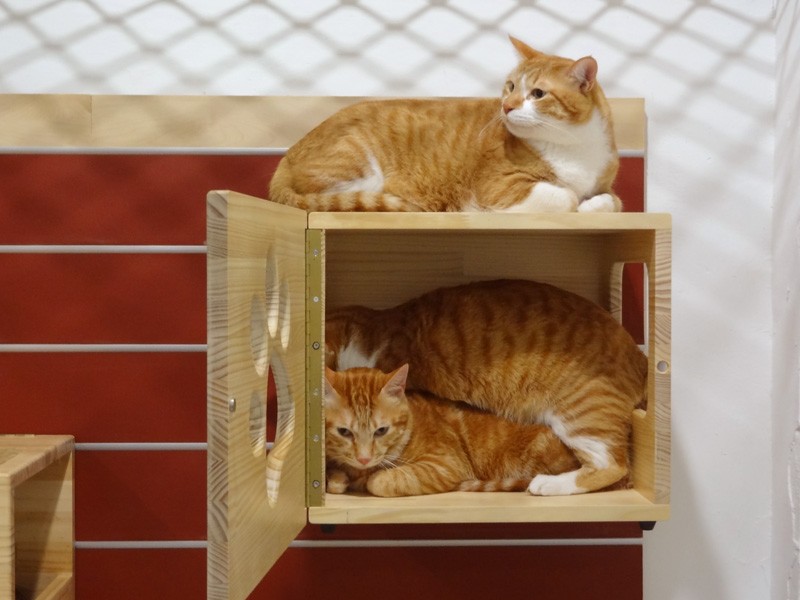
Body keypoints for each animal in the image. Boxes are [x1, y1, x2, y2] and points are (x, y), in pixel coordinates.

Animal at [269, 36, 621, 213]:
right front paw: (575, 201)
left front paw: (593, 204)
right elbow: (565, 196)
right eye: (510, 87)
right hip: (357, 163)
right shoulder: (498, 187)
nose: (506, 106)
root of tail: (287, 155)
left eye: (537, 94)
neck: (574, 146)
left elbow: (612, 201)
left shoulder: (605, 186)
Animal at [324, 364, 581, 497]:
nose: (364, 458)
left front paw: (368, 478)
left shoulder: (443, 465)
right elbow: (336, 480)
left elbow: (378, 481)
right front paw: (339, 478)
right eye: (344, 432)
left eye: (381, 431)